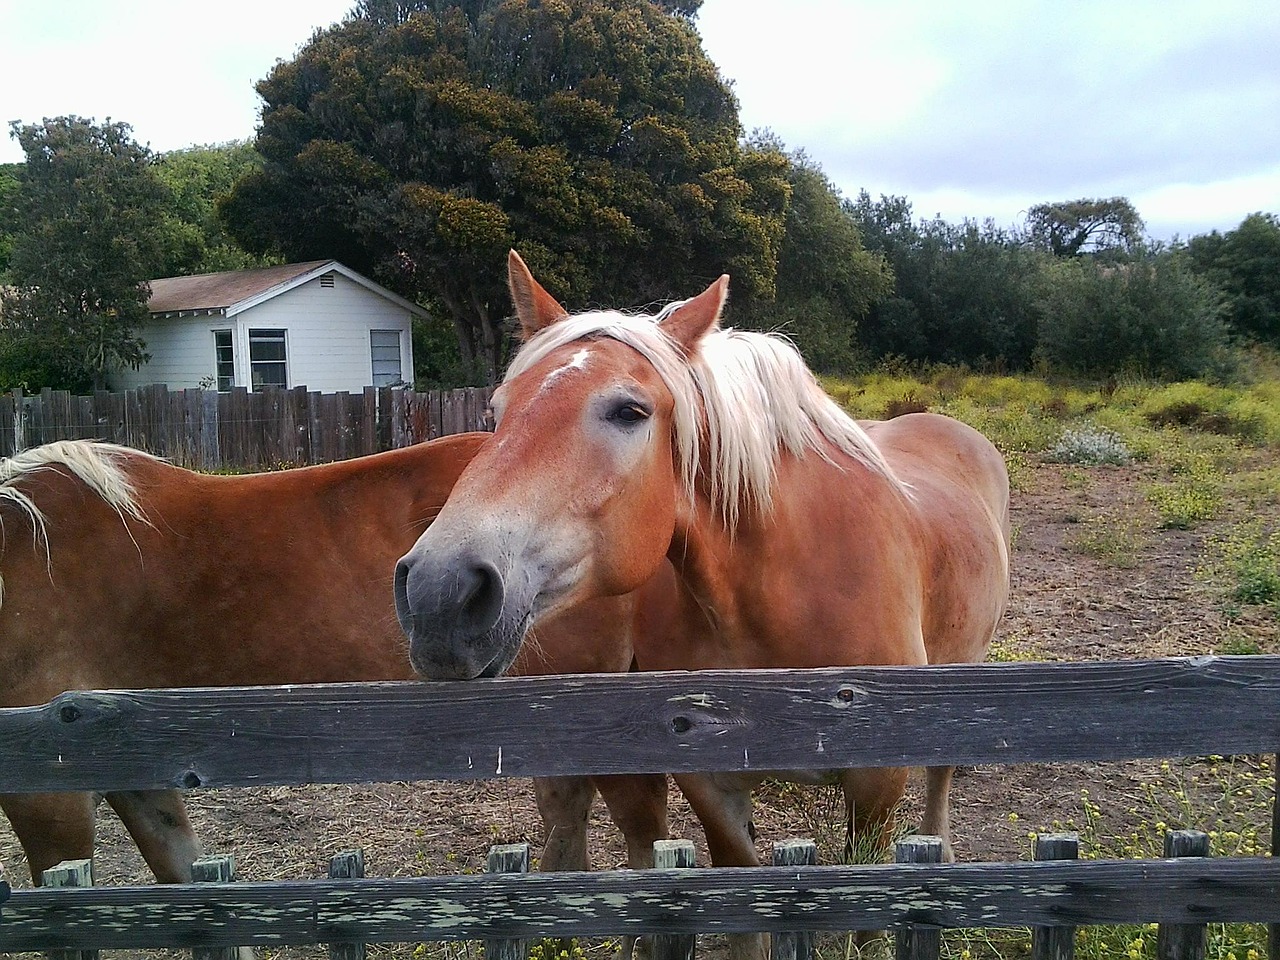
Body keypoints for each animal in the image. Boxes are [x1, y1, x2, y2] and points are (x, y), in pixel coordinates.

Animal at [394, 252, 1013, 957]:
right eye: (495, 415)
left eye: (630, 410)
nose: (439, 592)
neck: (777, 593)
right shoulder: (710, 784)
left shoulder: (877, 784)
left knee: (941, 774)